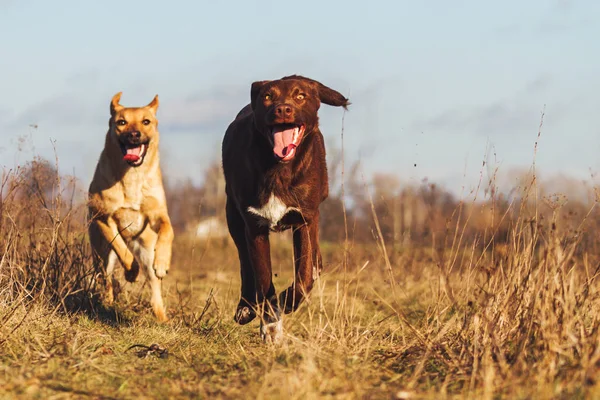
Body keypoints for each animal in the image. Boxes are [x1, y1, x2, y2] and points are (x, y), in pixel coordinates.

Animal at [88, 93, 173, 322]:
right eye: (121, 122)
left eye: (146, 121)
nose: (134, 135)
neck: (132, 175)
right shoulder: (103, 218)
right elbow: (120, 248)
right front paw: (131, 272)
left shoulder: (157, 214)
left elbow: (168, 230)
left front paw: (163, 262)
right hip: (101, 254)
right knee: (106, 278)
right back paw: (108, 300)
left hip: (146, 250)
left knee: (154, 286)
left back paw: (162, 317)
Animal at [223, 74, 350, 340]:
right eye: (267, 96)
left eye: (300, 95)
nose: (282, 109)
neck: (278, 169)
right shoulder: (255, 227)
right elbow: (262, 277)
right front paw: (270, 323)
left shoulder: (304, 220)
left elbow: (304, 275)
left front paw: (287, 301)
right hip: (234, 218)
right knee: (245, 263)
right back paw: (245, 308)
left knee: (314, 262)